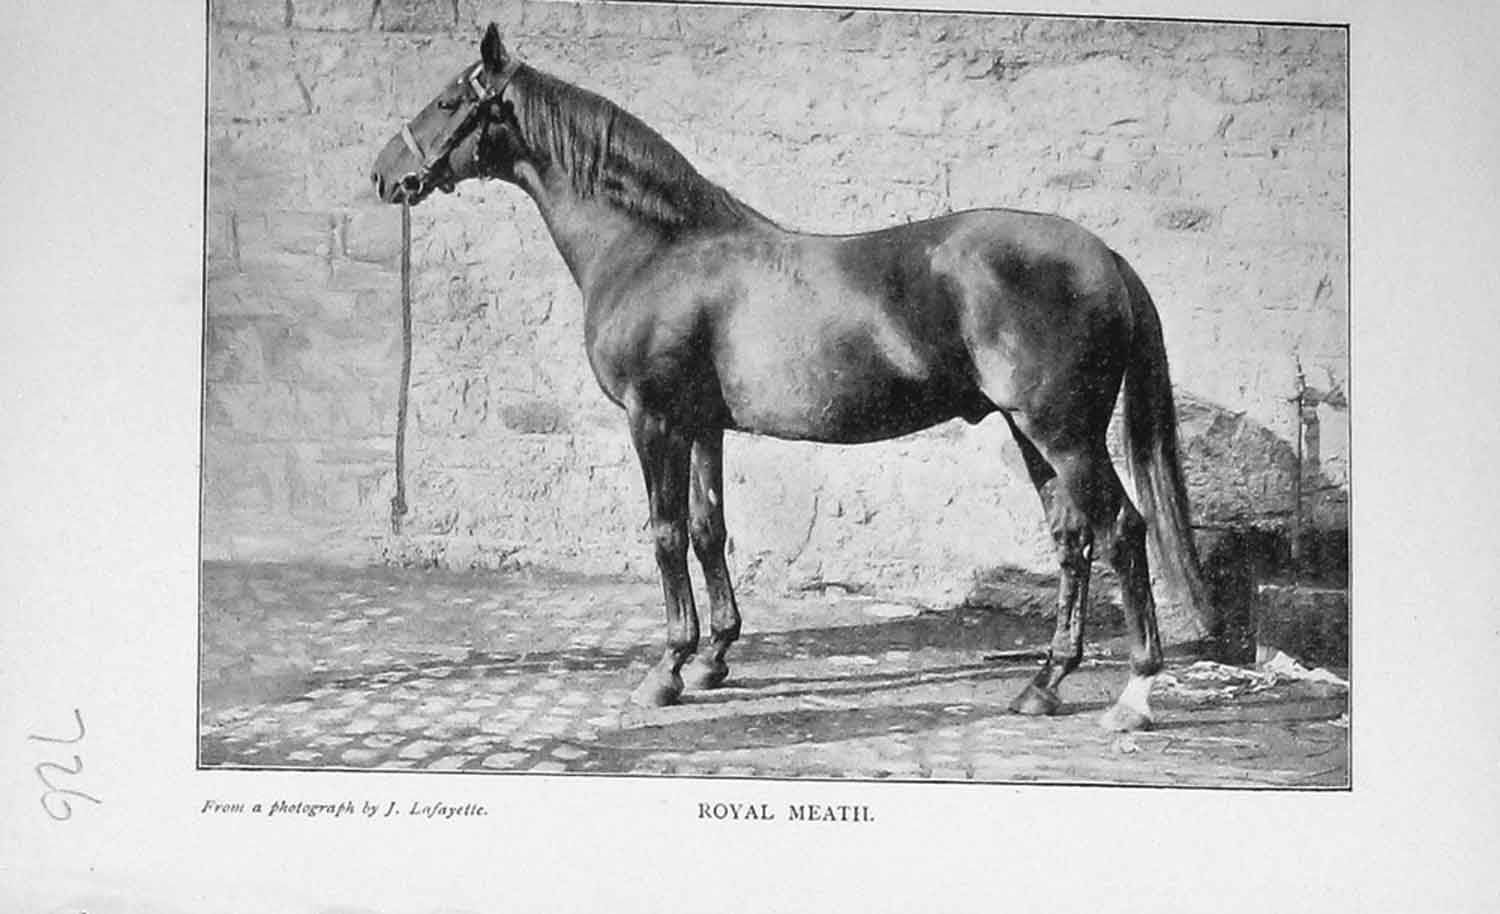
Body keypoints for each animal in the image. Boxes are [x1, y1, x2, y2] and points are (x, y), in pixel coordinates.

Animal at [371, 24, 1213, 731]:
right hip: (1032, 433)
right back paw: (1044, 684)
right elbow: (708, 530)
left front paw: (665, 671)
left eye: (447, 101)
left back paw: (1133, 695)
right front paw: (713, 659)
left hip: (1062, 433)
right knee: (1073, 540)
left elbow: (666, 534)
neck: (656, 249)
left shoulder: (653, 419)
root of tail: (1104, 255)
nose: (383, 175)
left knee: (1122, 530)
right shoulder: (702, 425)